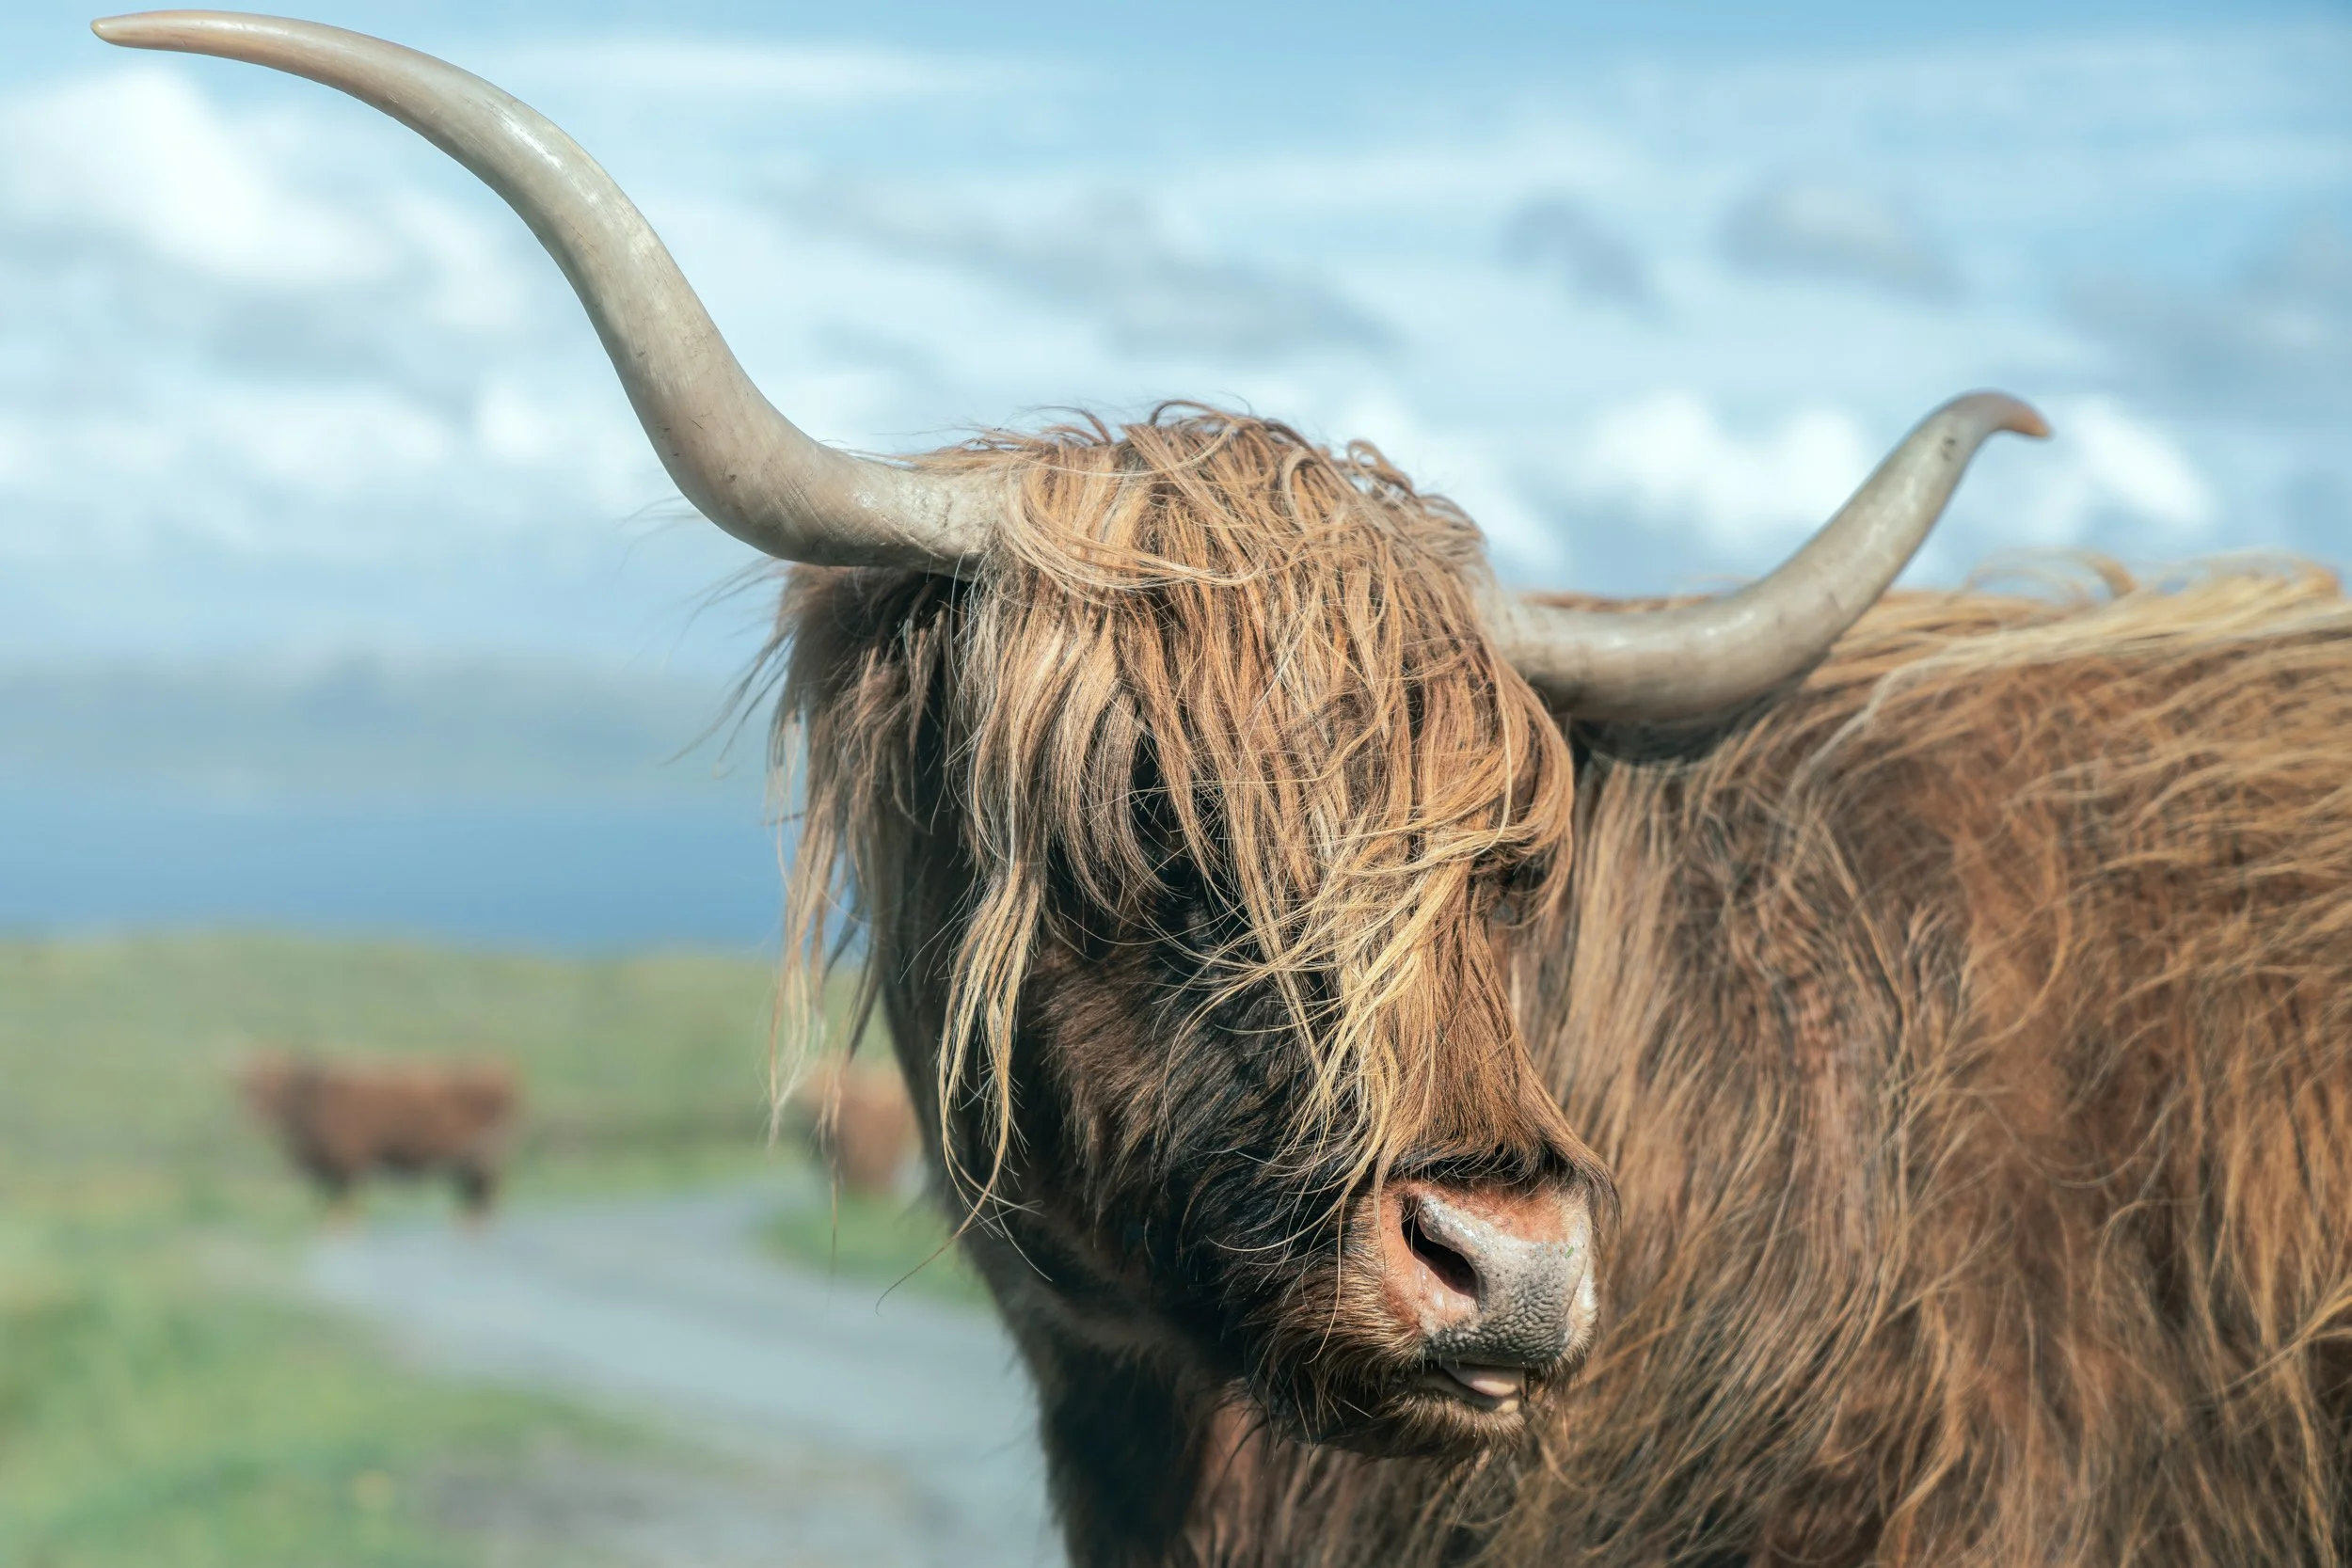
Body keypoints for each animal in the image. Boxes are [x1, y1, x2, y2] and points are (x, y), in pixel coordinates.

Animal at [239, 1052, 520, 1220]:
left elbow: (344, 1208)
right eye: (250, 1086)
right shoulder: (327, 1171)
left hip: (481, 1166)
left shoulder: (346, 1166)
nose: (257, 1111)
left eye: (280, 1084)